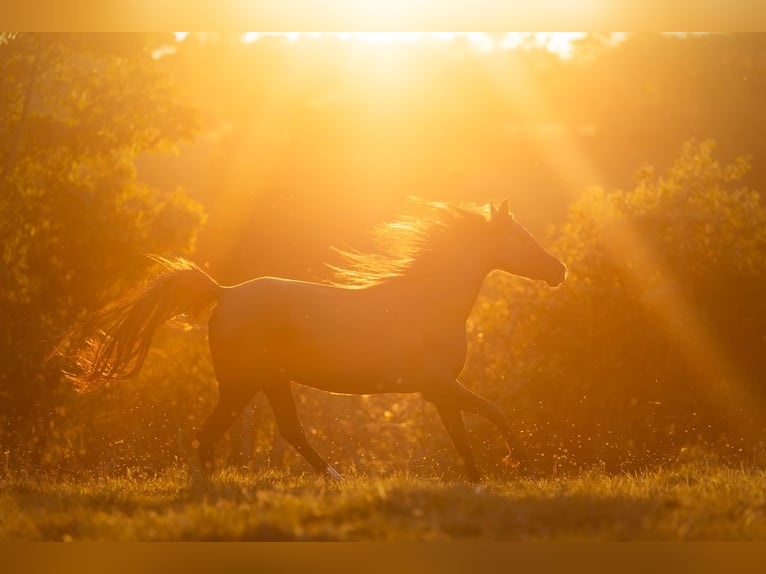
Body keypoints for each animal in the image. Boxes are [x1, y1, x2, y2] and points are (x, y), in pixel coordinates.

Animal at [58, 199, 566, 481]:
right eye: (522, 237)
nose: (559, 270)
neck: (430, 301)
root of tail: (224, 292)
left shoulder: (438, 392)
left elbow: (463, 437)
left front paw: (483, 479)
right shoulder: (439, 385)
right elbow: (495, 413)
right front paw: (527, 466)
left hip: (271, 382)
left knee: (289, 431)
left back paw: (334, 477)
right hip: (242, 386)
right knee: (211, 433)